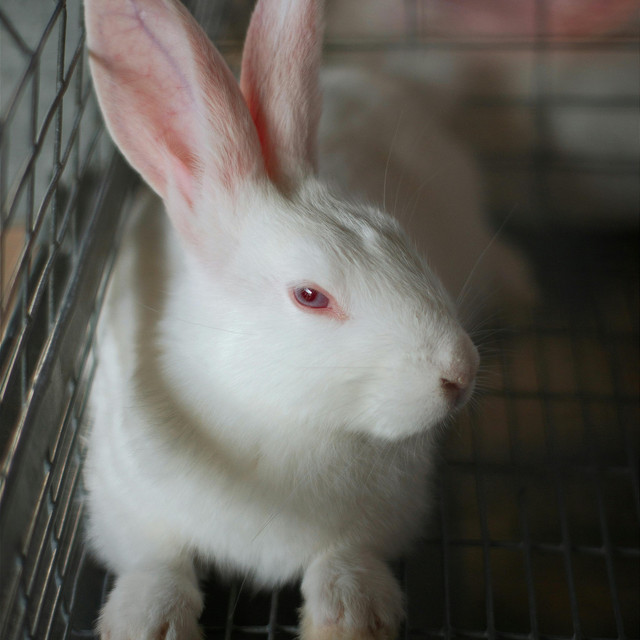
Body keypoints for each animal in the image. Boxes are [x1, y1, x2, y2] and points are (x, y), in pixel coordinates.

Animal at [80, 0, 513, 638]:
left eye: (398, 236)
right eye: (310, 296)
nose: (461, 374)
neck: (274, 417)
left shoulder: (375, 528)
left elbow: (345, 562)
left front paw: (350, 618)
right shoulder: (125, 499)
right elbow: (158, 564)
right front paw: (146, 621)